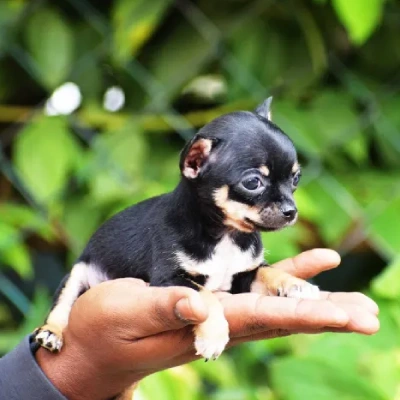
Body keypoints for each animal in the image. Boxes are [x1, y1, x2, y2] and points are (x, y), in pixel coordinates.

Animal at [33, 96, 318, 362]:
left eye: (295, 178)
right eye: (252, 183)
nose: (291, 211)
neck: (225, 236)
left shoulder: (243, 275)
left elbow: (269, 272)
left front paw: (295, 284)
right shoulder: (170, 279)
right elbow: (205, 295)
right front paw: (213, 336)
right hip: (77, 275)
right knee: (61, 307)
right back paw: (51, 333)